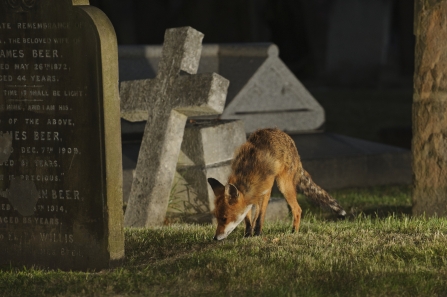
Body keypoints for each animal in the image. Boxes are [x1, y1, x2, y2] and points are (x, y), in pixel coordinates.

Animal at [208, 128, 348, 239]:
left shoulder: (266, 191)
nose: (215, 238)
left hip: (283, 185)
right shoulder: (249, 198)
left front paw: (257, 234)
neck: (248, 174)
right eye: (217, 217)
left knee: (298, 209)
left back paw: (294, 232)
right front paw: (248, 234)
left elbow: (259, 217)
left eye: (224, 218)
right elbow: (248, 218)